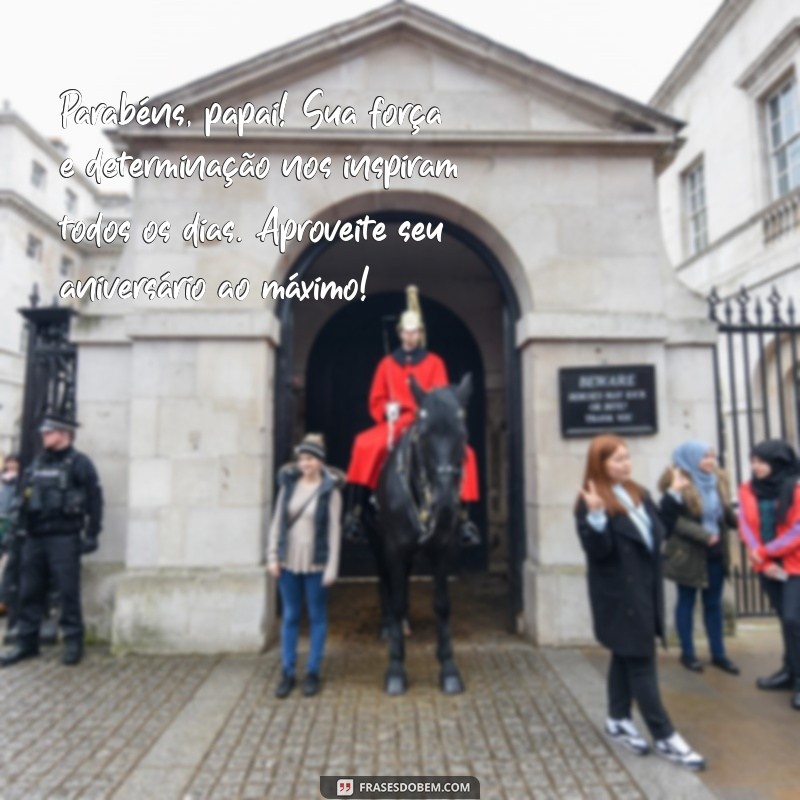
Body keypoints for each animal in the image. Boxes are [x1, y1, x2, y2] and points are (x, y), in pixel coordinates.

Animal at [368, 372, 476, 692]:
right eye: (424, 434)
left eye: (463, 434)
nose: (445, 504)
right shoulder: (393, 546)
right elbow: (396, 600)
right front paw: (395, 668)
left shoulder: (444, 547)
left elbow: (442, 605)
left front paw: (449, 668)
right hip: (377, 541)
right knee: (385, 581)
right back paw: (389, 625)